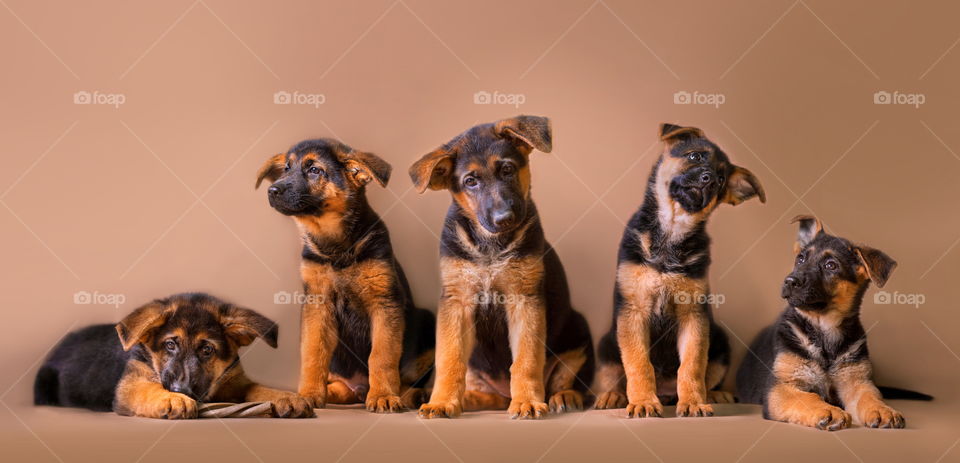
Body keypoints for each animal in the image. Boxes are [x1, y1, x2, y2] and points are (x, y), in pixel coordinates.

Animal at [31, 294, 312, 420]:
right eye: (169, 345)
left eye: (207, 350)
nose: (181, 390)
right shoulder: (131, 386)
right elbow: (148, 389)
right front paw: (171, 399)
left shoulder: (234, 381)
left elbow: (258, 387)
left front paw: (286, 397)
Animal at [255, 138, 436, 414]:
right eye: (286, 168)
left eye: (314, 170)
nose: (272, 190)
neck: (336, 247)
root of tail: (359, 389)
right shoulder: (317, 305)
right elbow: (313, 352)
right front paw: (308, 394)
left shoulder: (384, 303)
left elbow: (382, 355)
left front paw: (383, 395)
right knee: (340, 386)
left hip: (426, 320)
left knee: (406, 380)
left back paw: (411, 395)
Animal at [406, 115, 592, 420]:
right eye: (470, 182)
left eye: (507, 169)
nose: (504, 219)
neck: (490, 246)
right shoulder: (456, 302)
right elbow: (449, 358)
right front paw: (442, 401)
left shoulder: (524, 300)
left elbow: (527, 360)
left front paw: (527, 401)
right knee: (487, 395)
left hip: (578, 331)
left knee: (566, 380)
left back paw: (564, 397)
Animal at [592, 122, 764, 416]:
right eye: (695, 156)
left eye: (721, 180)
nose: (708, 179)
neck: (672, 230)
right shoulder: (633, 313)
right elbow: (638, 363)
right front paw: (643, 401)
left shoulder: (693, 316)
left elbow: (692, 366)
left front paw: (693, 402)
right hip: (607, 343)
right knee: (615, 374)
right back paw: (614, 396)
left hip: (720, 340)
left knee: (709, 374)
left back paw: (714, 394)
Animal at [736, 218, 928, 432]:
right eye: (800, 259)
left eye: (831, 265)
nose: (789, 281)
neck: (824, 328)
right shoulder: (782, 387)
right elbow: (807, 397)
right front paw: (828, 410)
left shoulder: (856, 382)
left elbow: (870, 396)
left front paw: (882, 409)